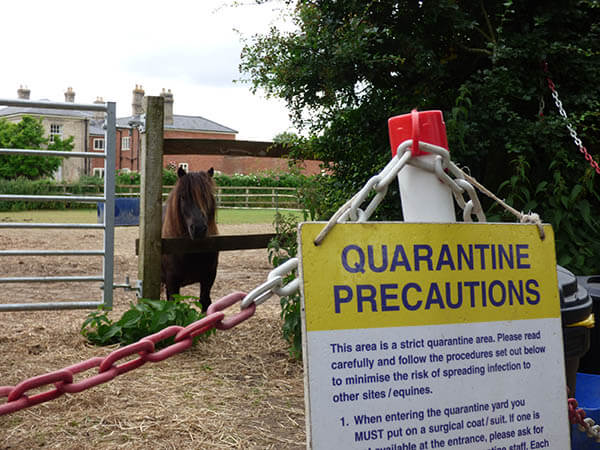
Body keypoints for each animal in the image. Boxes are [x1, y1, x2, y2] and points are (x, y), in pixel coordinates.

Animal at [161, 167, 219, 312]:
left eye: (206, 196)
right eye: (183, 196)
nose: (198, 228)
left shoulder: (208, 278)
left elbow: (205, 302)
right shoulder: (172, 281)